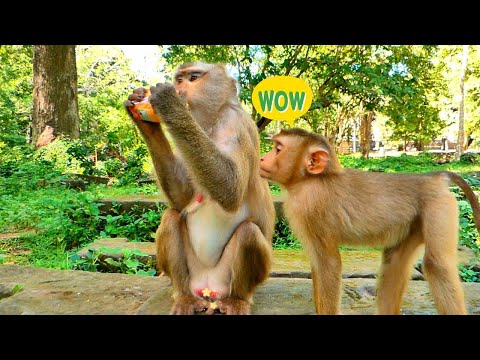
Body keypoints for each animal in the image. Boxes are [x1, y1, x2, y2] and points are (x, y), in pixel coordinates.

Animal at [124, 62, 274, 316]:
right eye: (179, 79)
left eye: (193, 78)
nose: (179, 88)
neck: (210, 124)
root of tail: (208, 288)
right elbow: (182, 198)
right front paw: (143, 118)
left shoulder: (237, 124)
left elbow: (231, 189)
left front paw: (168, 102)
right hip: (193, 275)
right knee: (171, 217)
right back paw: (184, 296)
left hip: (232, 278)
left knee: (248, 232)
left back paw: (236, 300)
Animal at [260, 128, 478, 314]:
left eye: (278, 149)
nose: (262, 157)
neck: (310, 180)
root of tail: (433, 177)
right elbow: (317, 262)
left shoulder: (312, 209)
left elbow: (329, 264)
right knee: (394, 262)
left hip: (438, 206)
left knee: (437, 264)